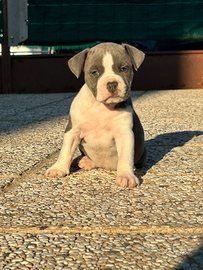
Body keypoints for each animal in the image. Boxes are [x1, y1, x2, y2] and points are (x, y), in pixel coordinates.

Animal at [45, 42, 147, 188]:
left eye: (123, 69)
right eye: (94, 72)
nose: (112, 84)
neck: (101, 106)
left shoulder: (124, 133)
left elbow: (125, 157)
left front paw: (126, 176)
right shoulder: (73, 131)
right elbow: (65, 151)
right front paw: (58, 169)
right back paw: (82, 160)